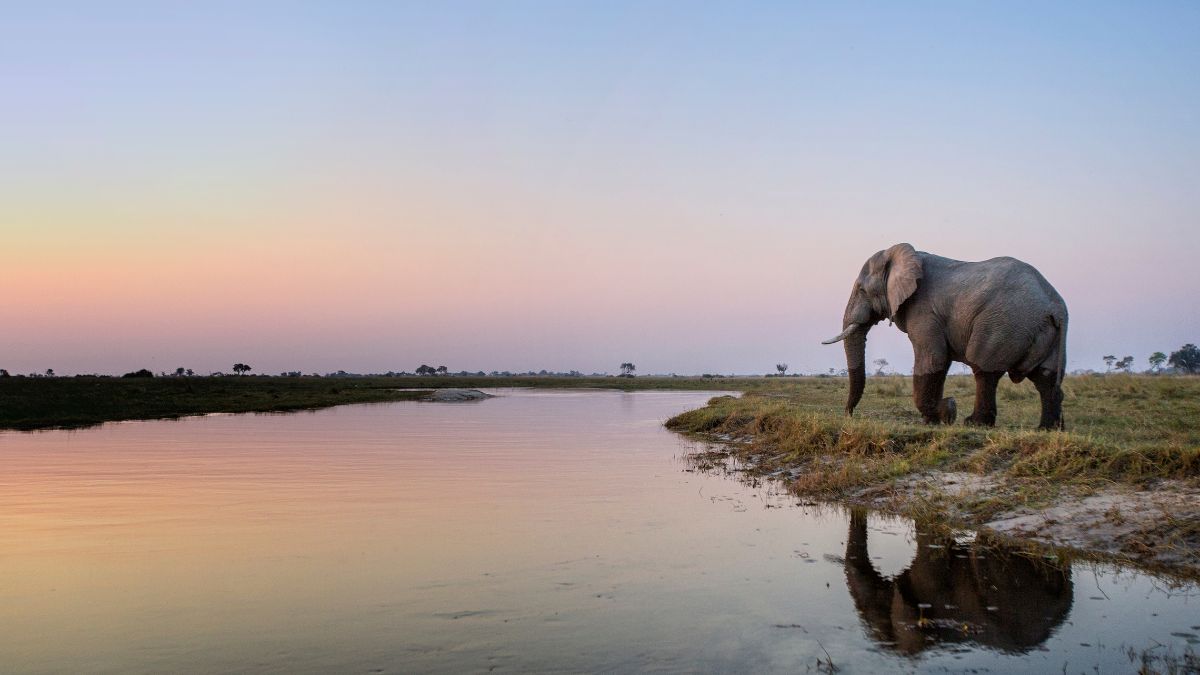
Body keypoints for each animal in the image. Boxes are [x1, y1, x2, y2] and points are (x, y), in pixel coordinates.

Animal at [825, 243, 1070, 427]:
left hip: (1004, 324)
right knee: (1046, 378)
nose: (848, 415)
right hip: (1045, 334)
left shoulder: (924, 310)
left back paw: (974, 423)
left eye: (862, 290)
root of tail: (1056, 307)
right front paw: (936, 417)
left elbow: (933, 359)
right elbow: (939, 365)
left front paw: (947, 411)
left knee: (984, 370)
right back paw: (1047, 429)